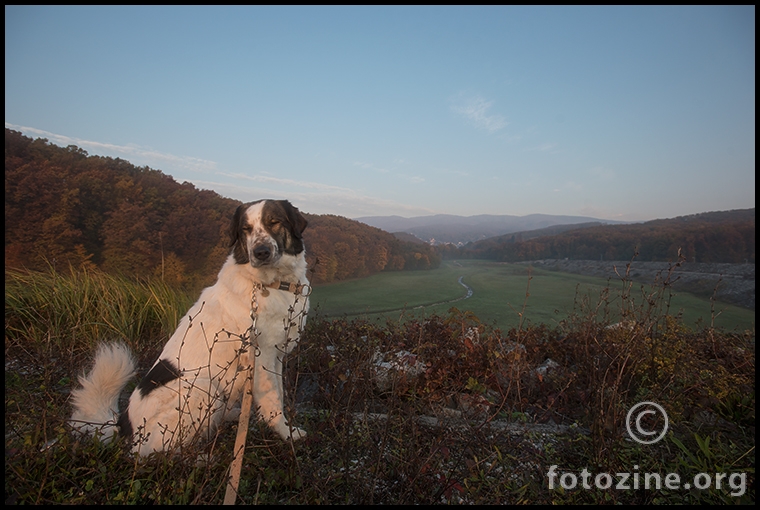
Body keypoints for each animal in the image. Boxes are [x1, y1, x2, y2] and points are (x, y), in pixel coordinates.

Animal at [70, 198, 310, 454]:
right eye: (245, 229)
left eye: (274, 222)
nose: (260, 252)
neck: (270, 284)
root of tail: (126, 426)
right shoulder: (261, 356)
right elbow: (273, 401)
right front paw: (288, 434)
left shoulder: (277, 356)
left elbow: (280, 393)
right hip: (203, 388)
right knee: (151, 453)